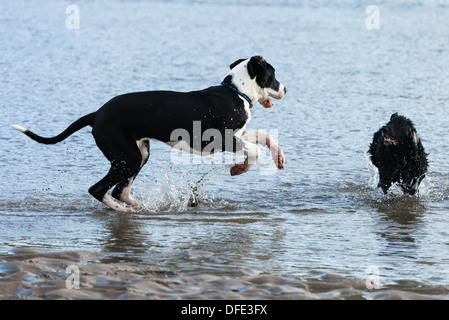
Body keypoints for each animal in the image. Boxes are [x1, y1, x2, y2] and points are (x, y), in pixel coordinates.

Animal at [12, 57, 286, 212]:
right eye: (273, 75)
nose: (286, 88)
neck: (235, 91)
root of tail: (97, 114)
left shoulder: (237, 134)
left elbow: (264, 136)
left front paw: (279, 156)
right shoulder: (218, 140)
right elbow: (254, 150)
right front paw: (240, 168)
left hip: (138, 153)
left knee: (120, 191)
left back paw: (141, 206)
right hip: (128, 157)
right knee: (99, 189)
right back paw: (124, 211)